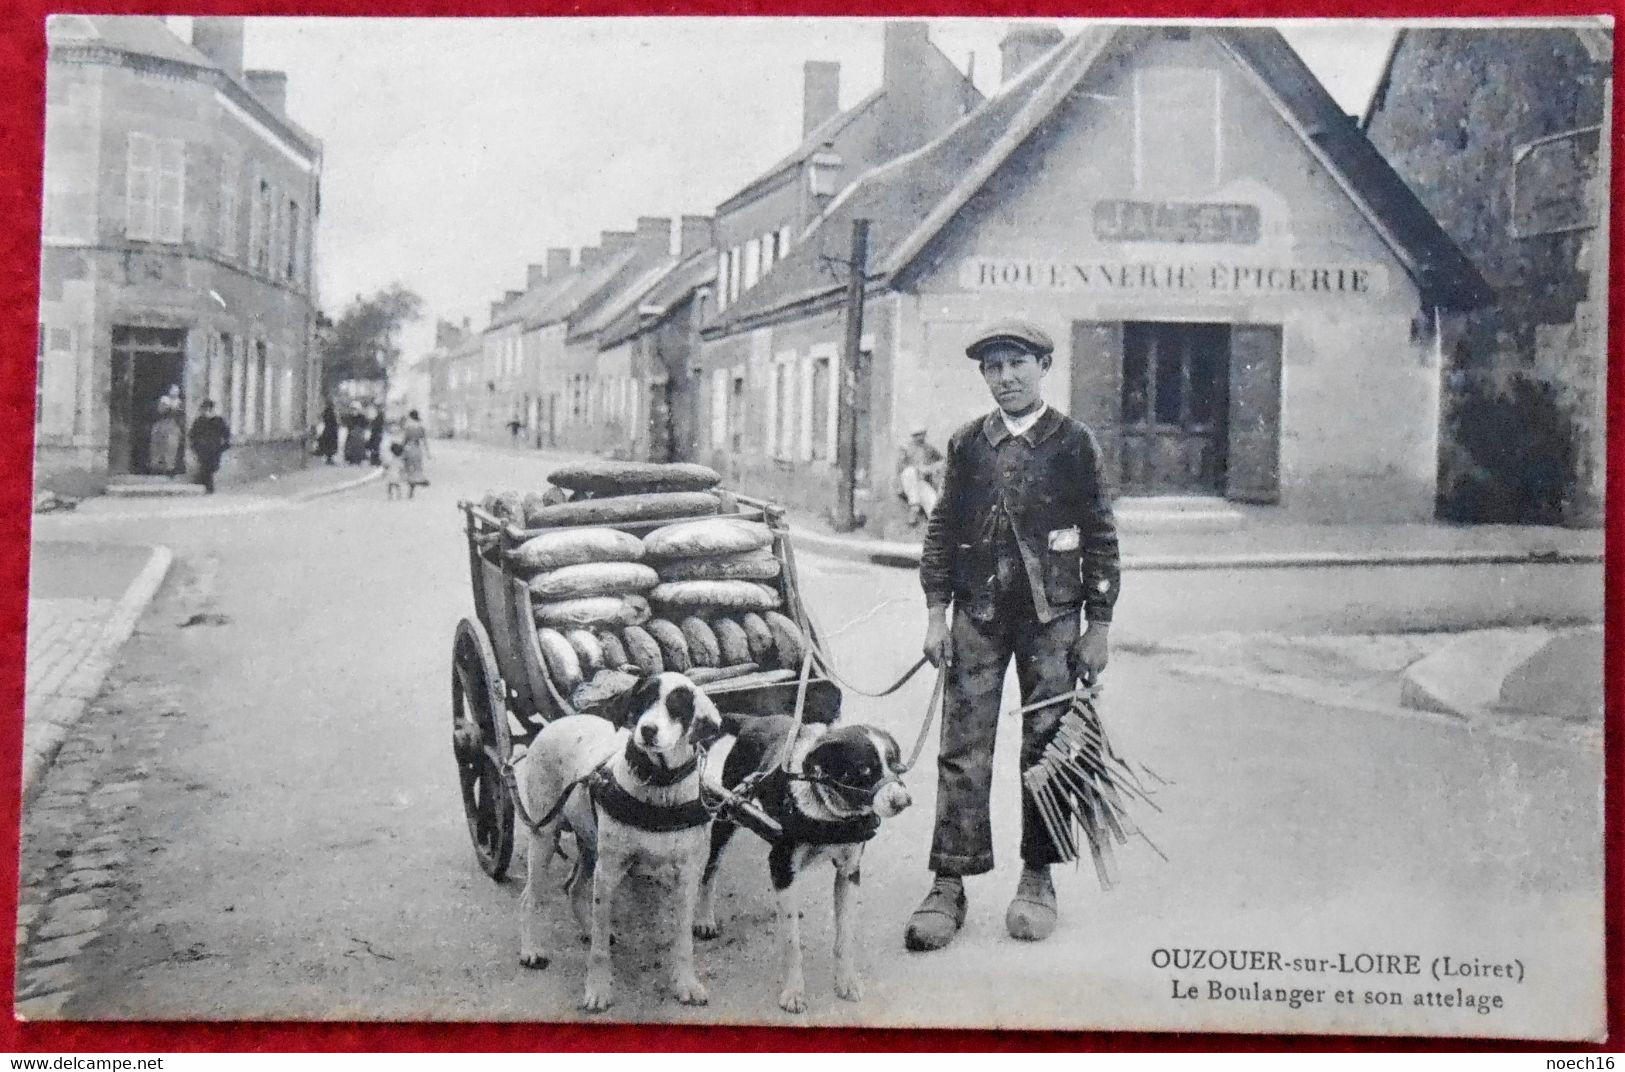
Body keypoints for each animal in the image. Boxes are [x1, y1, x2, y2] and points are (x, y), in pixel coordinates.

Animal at [520, 669, 724, 1013]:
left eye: (677, 705)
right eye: (642, 699)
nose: (648, 730)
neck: (658, 784)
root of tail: (556, 723)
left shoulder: (687, 875)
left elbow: (683, 940)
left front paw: (685, 984)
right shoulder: (609, 873)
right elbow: (600, 950)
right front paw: (598, 990)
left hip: (589, 844)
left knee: (573, 887)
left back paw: (585, 928)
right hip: (544, 836)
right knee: (530, 897)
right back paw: (532, 948)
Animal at [698, 714, 916, 1007]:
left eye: (896, 766)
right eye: (864, 770)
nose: (904, 801)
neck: (828, 813)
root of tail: (752, 720)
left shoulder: (849, 871)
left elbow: (844, 936)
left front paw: (846, 981)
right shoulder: (781, 862)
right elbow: (792, 942)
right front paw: (793, 991)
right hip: (728, 815)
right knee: (710, 869)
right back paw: (704, 918)